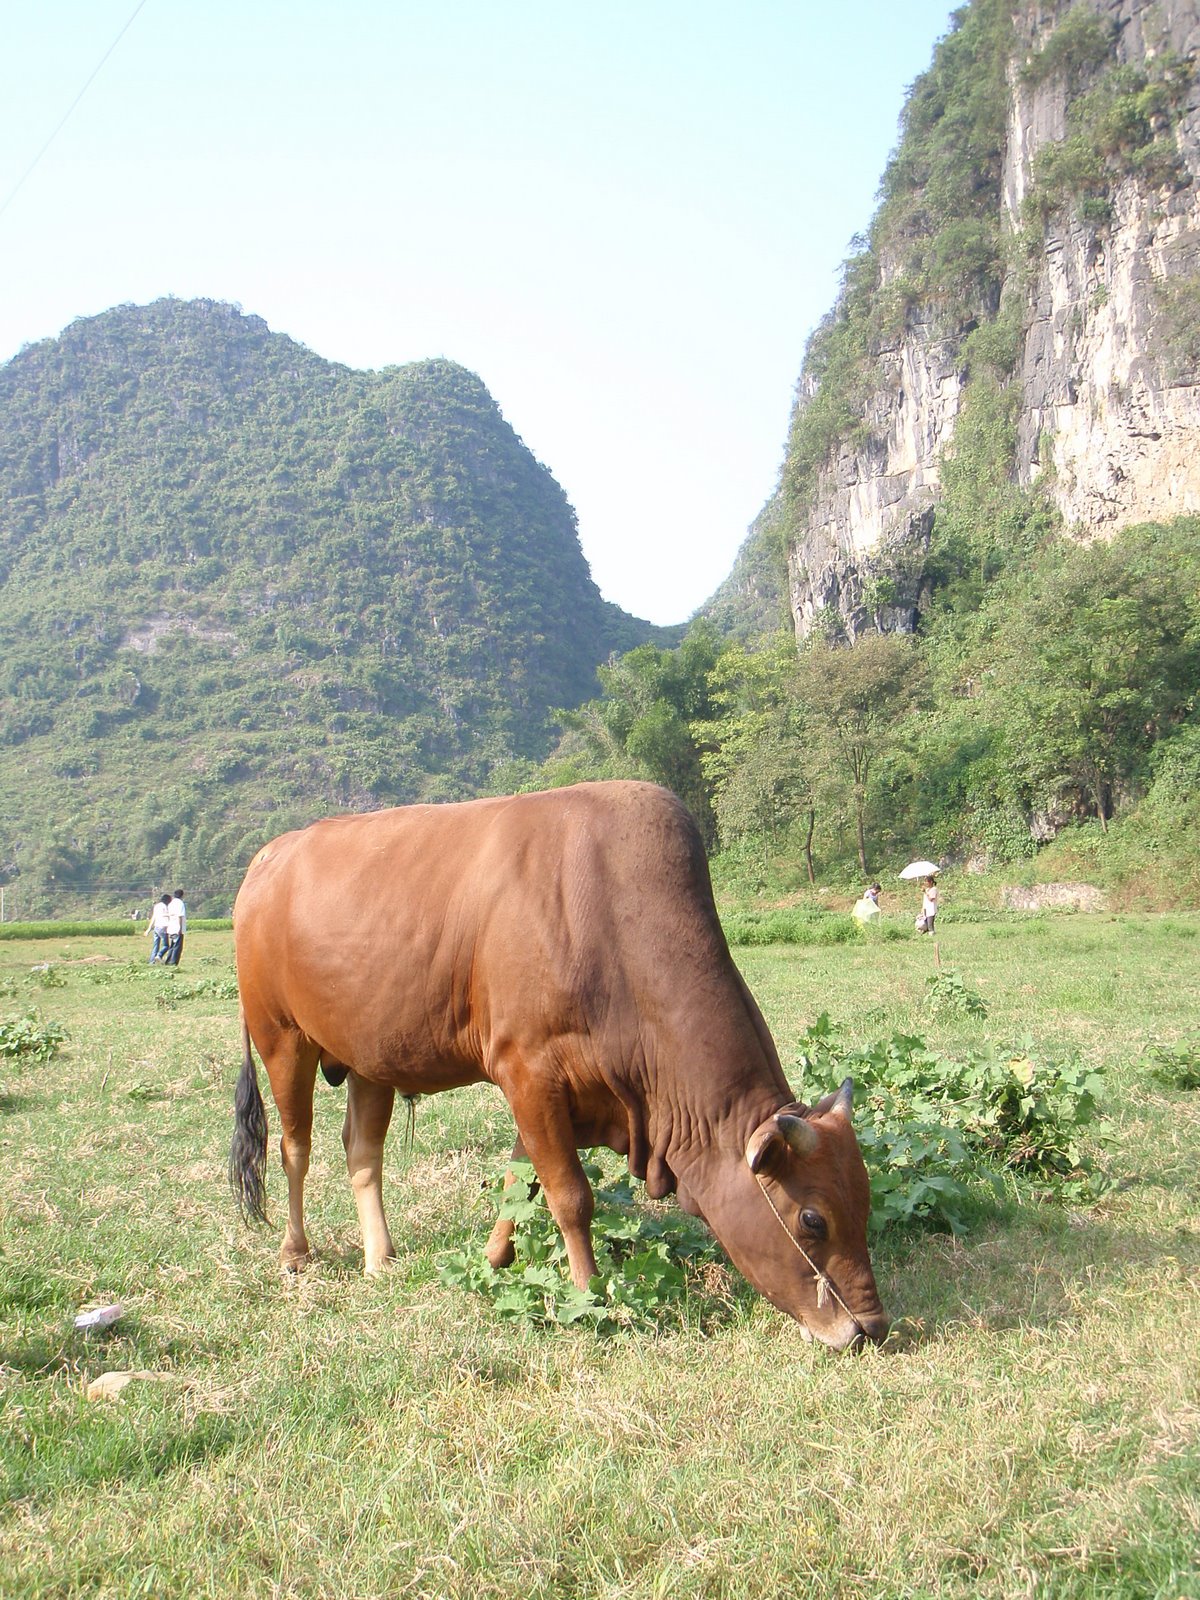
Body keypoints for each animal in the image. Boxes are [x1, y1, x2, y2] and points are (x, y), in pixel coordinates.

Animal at [229, 781, 888, 1350]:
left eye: (864, 1198)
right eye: (812, 1219)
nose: (870, 1329)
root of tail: (268, 857)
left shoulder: (553, 1093)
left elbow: (519, 1184)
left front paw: (493, 1261)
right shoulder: (527, 1072)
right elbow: (569, 1195)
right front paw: (588, 1292)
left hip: (370, 1059)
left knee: (363, 1152)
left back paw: (380, 1257)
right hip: (281, 1039)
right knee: (293, 1146)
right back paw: (295, 1251)